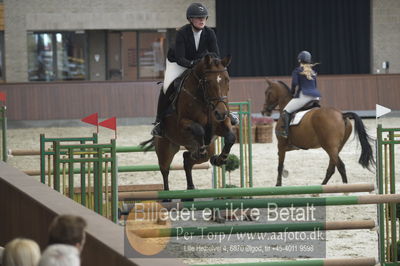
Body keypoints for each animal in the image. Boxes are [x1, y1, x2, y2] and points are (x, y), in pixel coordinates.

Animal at [141, 54, 234, 191]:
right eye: (207, 82)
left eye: (227, 80)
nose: (221, 113)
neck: (203, 100)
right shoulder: (182, 124)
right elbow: (199, 129)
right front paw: (201, 150)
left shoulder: (219, 125)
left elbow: (231, 137)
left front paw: (220, 159)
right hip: (165, 148)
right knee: (165, 170)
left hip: (206, 148)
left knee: (187, 159)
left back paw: (191, 186)